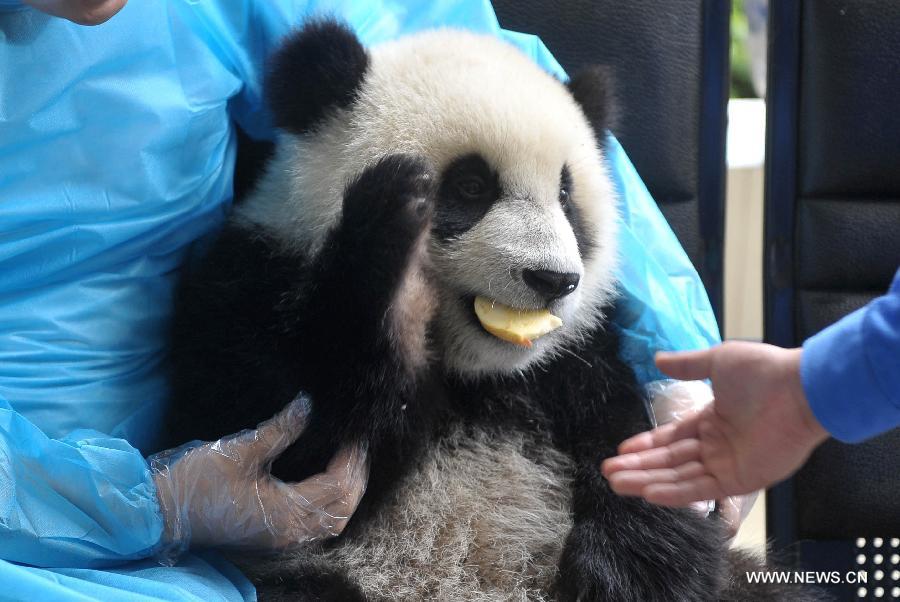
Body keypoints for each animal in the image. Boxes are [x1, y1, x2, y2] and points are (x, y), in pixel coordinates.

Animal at [165, 20, 817, 602]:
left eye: (565, 194)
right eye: (472, 186)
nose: (553, 280)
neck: (482, 374)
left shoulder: (574, 357)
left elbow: (626, 435)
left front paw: (628, 574)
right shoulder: (253, 277)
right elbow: (287, 437)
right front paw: (392, 266)